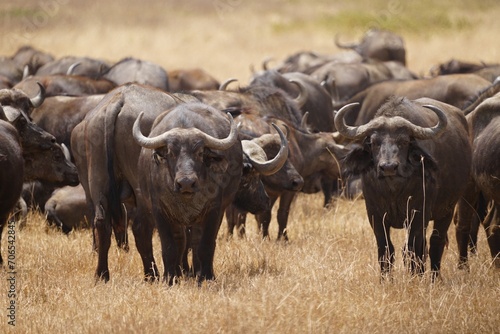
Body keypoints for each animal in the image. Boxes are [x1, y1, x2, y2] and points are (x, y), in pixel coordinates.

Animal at [336, 97, 472, 280]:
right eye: (374, 142)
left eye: (404, 141)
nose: (388, 167)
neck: (393, 190)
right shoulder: (375, 215)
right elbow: (386, 249)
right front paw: (386, 279)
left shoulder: (418, 214)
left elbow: (413, 249)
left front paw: (415, 277)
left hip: (447, 210)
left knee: (435, 242)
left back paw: (434, 278)